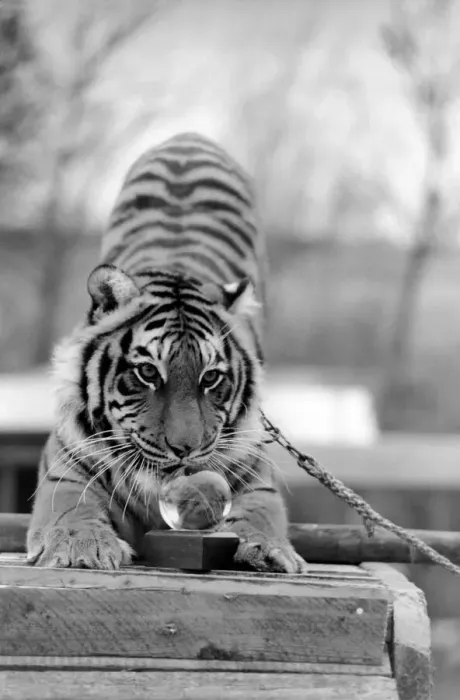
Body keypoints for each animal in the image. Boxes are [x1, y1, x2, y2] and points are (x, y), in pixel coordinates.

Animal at [27, 132, 307, 574]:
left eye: (210, 378)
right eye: (147, 373)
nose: (184, 450)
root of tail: (189, 136)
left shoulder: (255, 468)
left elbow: (262, 509)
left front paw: (268, 548)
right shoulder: (67, 466)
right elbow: (71, 507)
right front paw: (80, 547)